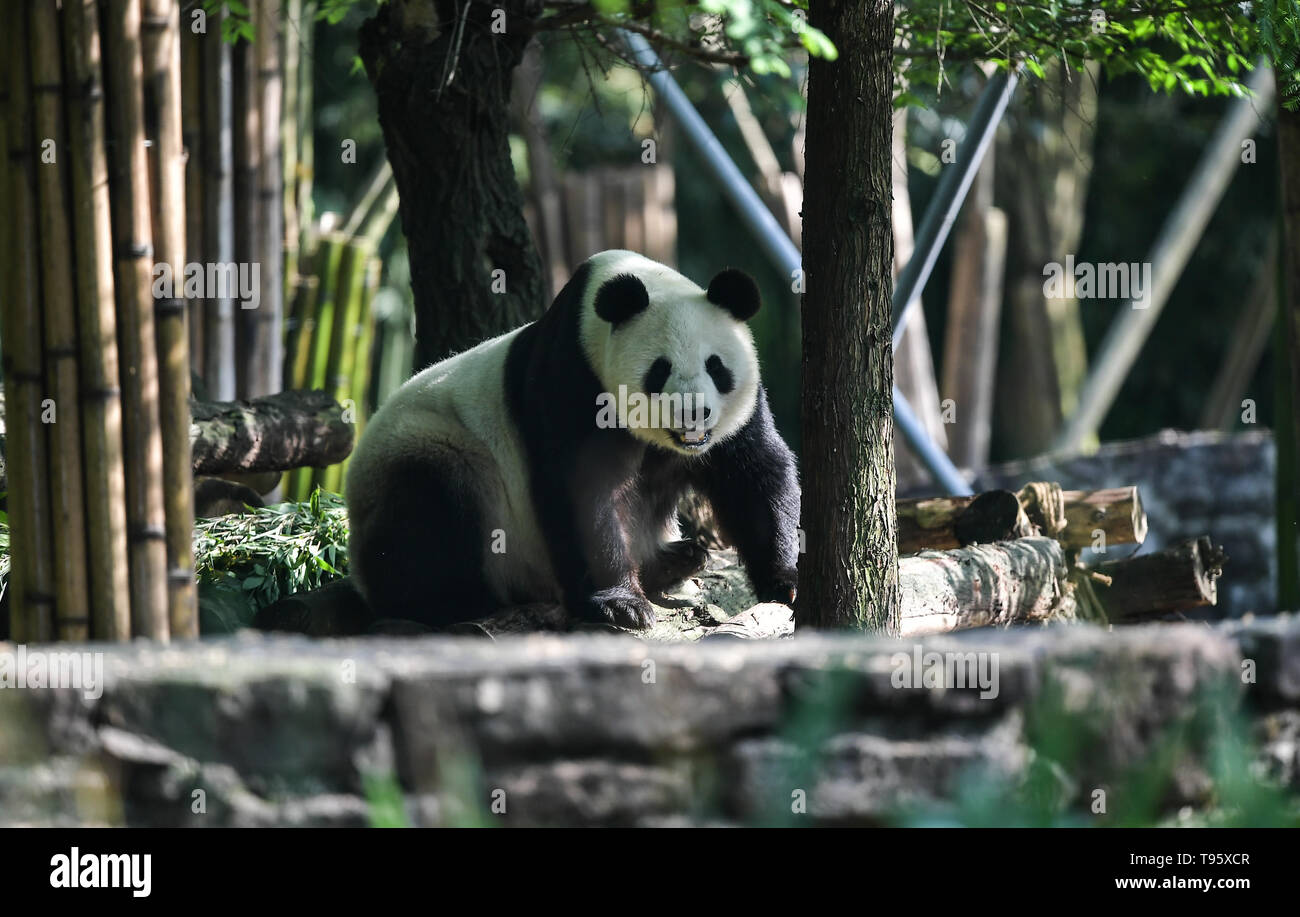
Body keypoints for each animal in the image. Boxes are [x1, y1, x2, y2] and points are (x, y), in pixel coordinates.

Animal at [343, 250, 800, 630]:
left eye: (716, 367)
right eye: (660, 370)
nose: (693, 412)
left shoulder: (738, 415)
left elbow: (755, 473)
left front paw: (786, 581)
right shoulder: (572, 379)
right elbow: (581, 490)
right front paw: (621, 604)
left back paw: (676, 559)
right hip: (428, 448)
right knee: (427, 516)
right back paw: (452, 600)